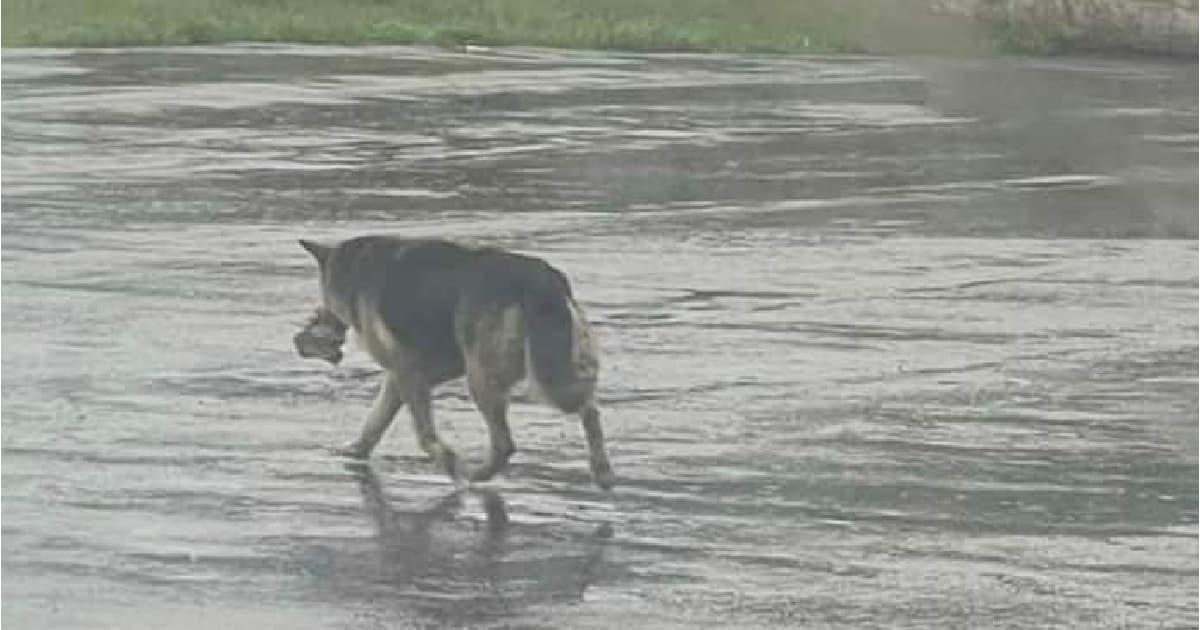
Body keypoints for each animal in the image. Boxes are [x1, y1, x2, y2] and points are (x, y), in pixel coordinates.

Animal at [296, 234, 614, 487]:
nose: (310, 327)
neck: (353, 267)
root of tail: (540, 280)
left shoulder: (407, 372)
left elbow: (423, 433)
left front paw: (449, 462)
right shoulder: (407, 375)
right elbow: (376, 420)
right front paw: (355, 451)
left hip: (484, 379)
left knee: (505, 443)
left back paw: (476, 477)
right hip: (557, 367)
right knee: (590, 409)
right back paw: (603, 472)